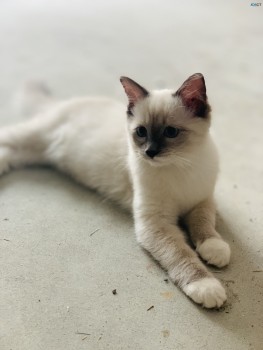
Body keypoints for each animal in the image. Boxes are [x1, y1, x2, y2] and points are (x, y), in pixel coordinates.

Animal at [0, 73, 231, 306]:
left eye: (171, 132)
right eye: (141, 132)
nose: (150, 152)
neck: (180, 167)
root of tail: (65, 102)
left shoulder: (201, 200)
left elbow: (205, 225)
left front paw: (215, 249)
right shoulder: (157, 224)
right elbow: (181, 254)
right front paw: (206, 286)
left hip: (34, 152)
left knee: (9, 154)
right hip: (30, 136)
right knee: (6, 137)